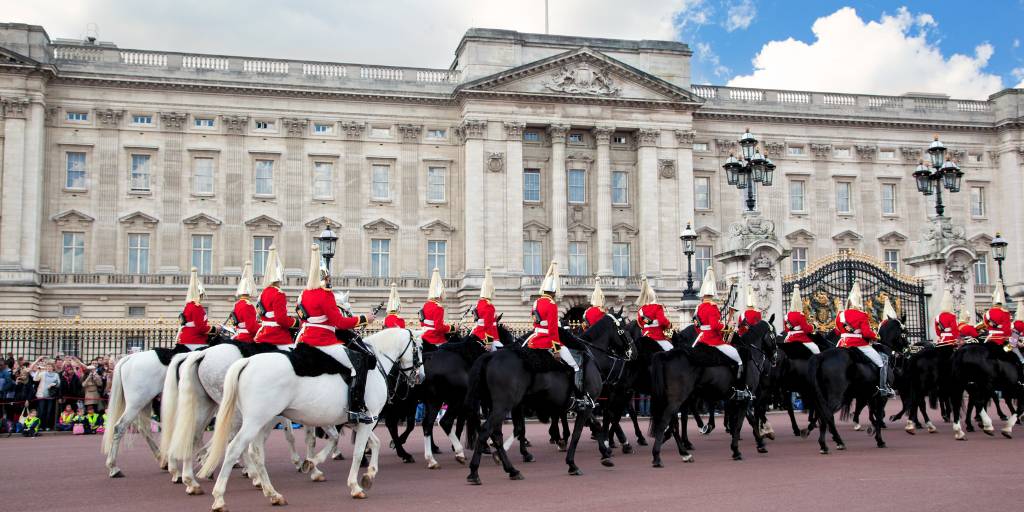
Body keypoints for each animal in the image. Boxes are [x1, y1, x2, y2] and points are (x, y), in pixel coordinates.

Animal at [195, 327, 423, 507]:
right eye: (419, 348)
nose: (420, 376)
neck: (374, 363)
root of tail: (248, 361)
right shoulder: (369, 418)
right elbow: (358, 452)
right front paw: (354, 485)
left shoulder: (359, 420)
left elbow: (371, 443)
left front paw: (367, 474)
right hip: (255, 421)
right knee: (233, 447)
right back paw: (218, 496)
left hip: (261, 421)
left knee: (254, 452)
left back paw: (271, 493)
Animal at [802, 315, 909, 456]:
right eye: (905, 332)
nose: (907, 350)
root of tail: (821, 357)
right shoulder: (881, 396)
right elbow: (879, 414)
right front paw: (879, 439)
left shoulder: (868, 395)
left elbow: (872, 413)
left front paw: (872, 428)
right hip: (837, 396)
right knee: (827, 414)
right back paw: (833, 443)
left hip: (823, 396)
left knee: (822, 414)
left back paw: (825, 441)